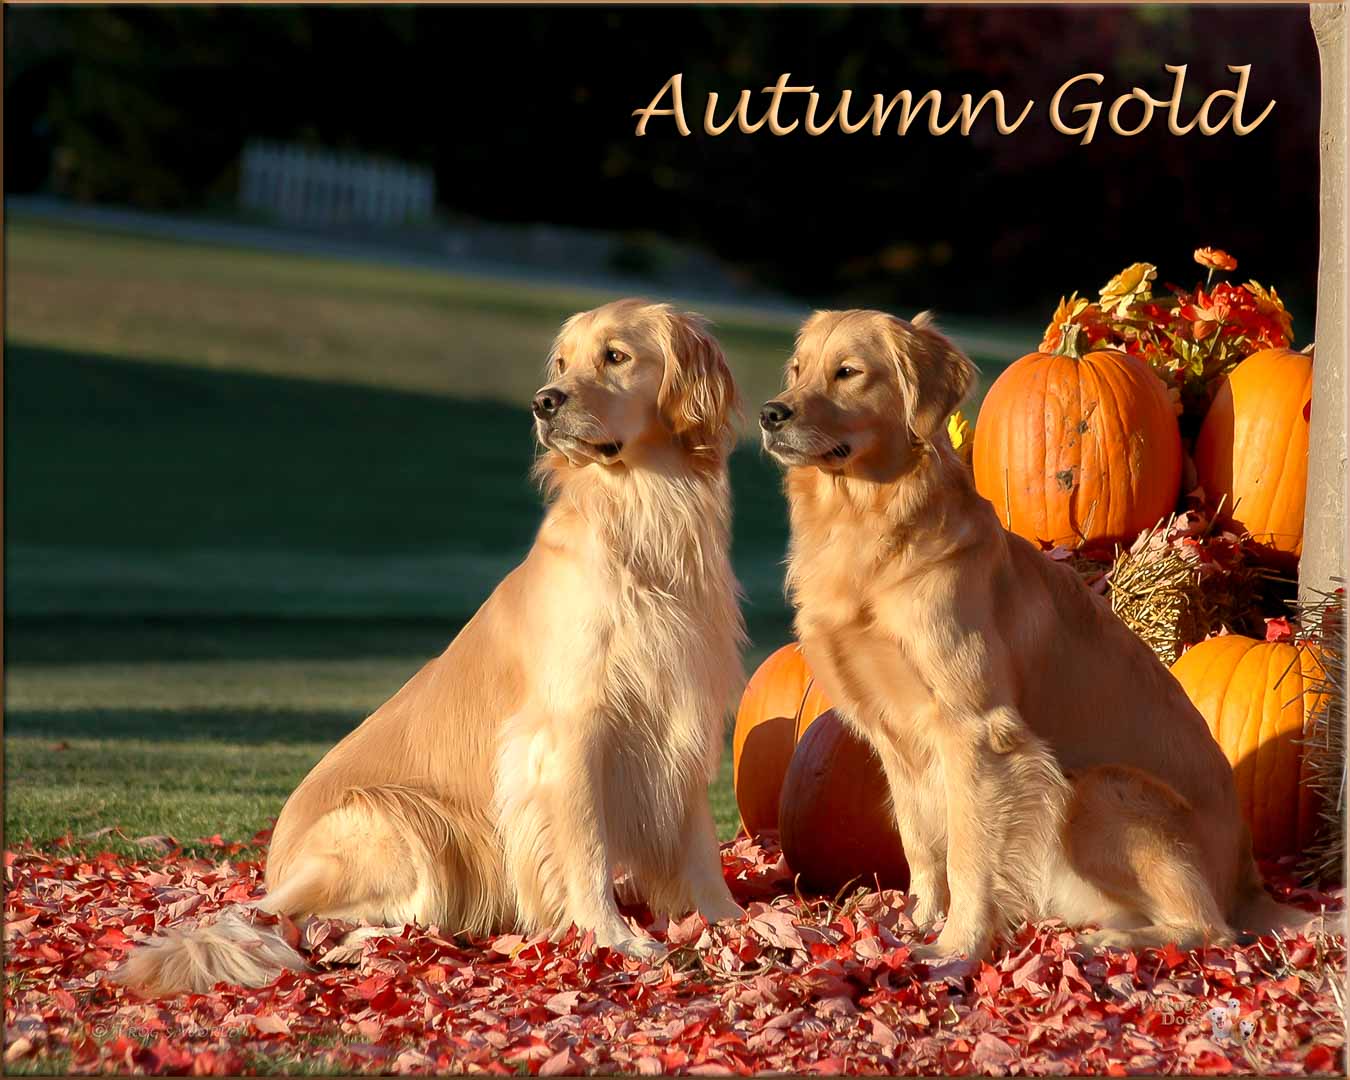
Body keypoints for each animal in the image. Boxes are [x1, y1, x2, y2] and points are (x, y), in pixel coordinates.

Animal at [113, 299, 750, 993]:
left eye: (615, 356)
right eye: (561, 363)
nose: (543, 402)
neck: (645, 518)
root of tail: (275, 869)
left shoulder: (680, 711)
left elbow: (697, 843)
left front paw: (731, 922)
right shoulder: (568, 732)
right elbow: (586, 848)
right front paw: (617, 939)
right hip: (404, 820)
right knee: (309, 924)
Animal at [766, 307, 1312, 966]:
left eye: (848, 372)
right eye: (797, 370)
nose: (770, 413)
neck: (869, 524)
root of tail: (1249, 877)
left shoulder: (975, 729)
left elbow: (969, 853)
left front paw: (956, 948)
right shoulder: (894, 732)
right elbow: (921, 842)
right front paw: (918, 921)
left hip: (1099, 787)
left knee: (1212, 927)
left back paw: (1117, 941)